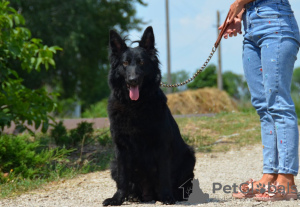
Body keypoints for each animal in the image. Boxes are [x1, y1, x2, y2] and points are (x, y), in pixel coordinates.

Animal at [103, 26, 196, 205]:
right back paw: (133, 196)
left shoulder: (162, 145)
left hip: (189, 157)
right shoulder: (121, 149)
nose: (133, 80)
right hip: (113, 165)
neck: (135, 106)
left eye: (141, 62)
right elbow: (123, 178)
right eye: (125, 63)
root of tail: (148, 195)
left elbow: (164, 175)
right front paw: (117, 199)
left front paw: (167, 197)